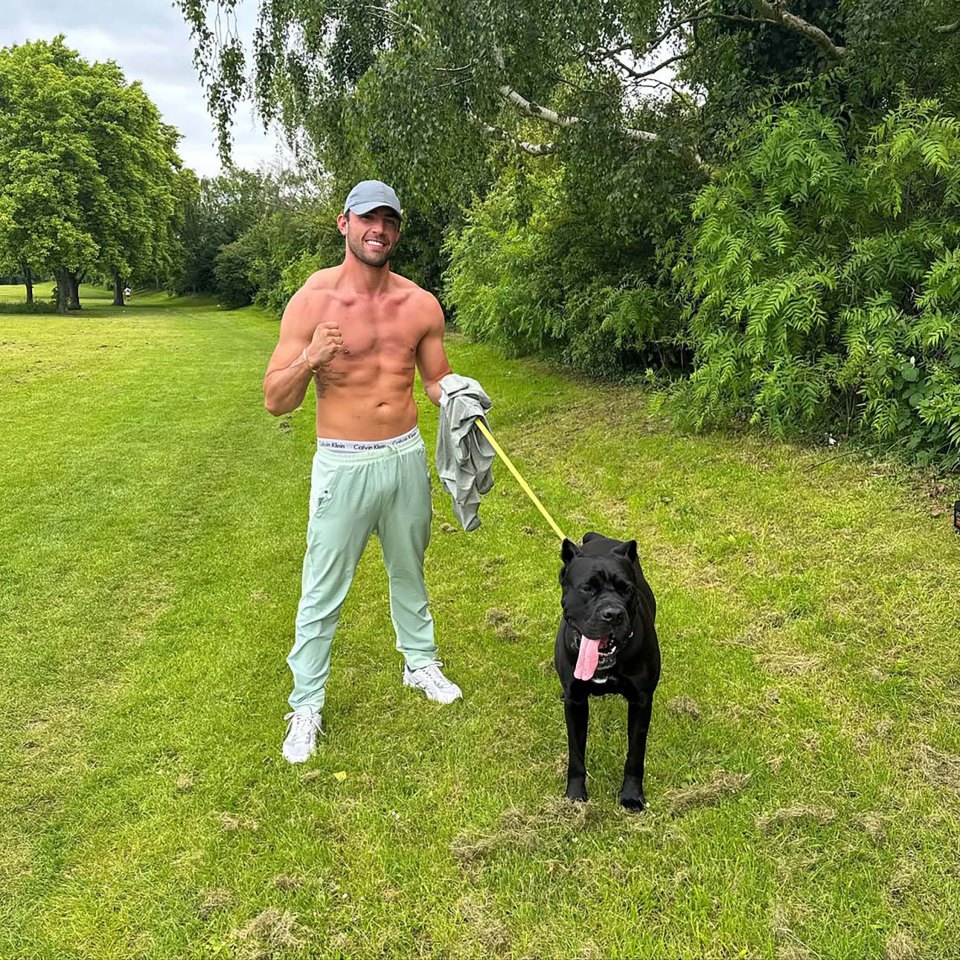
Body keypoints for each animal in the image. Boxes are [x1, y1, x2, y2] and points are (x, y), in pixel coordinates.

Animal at [556, 532, 660, 808]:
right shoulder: (576, 702)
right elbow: (576, 753)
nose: (612, 614)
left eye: (627, 589)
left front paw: (632, 795)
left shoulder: (641, 701)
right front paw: (575, 795)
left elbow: (635, 753)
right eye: (587, 588)